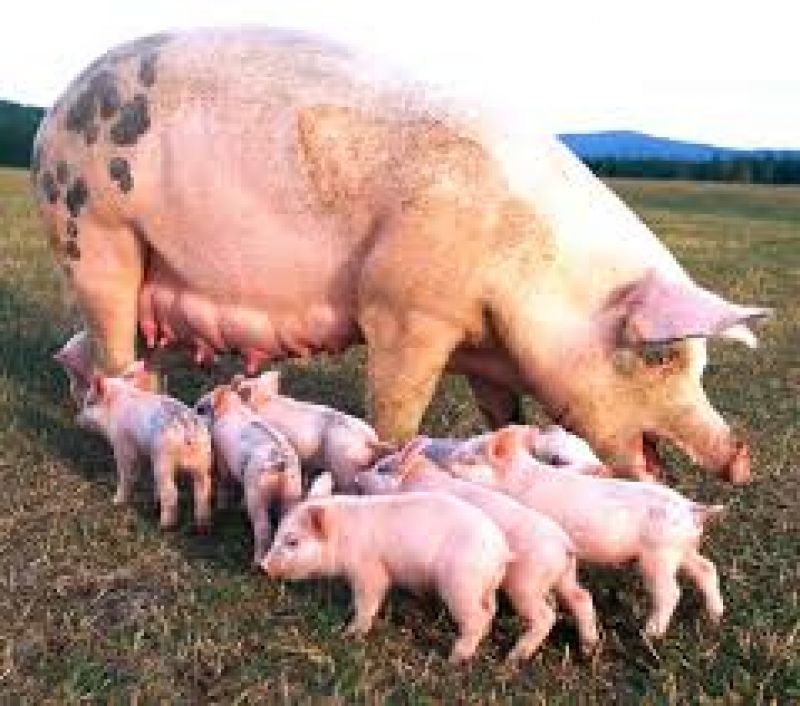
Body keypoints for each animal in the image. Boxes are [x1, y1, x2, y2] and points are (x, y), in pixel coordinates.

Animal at [77, 372, 213, 530]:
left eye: (89, 402)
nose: (78, 420)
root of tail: (188, 429)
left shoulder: (123, 446)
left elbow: (126, 474)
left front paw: (116, 501)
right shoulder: (142, 451)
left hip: (163, 461)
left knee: (172, 493)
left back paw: (164, 525)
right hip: (203, 461)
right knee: (203, 489)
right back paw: (202, 525)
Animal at [195, 384, 303, 565]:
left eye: (200, 408)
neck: (231, 407)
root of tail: (280, 461)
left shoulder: (221, 457)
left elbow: (224, 480)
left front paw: (222, 506)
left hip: (257, 493)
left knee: (263, 527)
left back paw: (255, 563)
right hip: (292, 490)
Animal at [263, 473, 512, 662]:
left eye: (293, 542)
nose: (264, 566)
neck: (343, 535)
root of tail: (501, 551)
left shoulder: (369, 569)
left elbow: (369, 599)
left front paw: (350, 633)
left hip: (461, 584)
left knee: (477, 618)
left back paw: (454, 658)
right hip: (485, 588)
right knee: (490, 610)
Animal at [356, 438, 600, 661]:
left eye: (382, 468)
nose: (358, 477)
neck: (414, 480)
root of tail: (565, 544)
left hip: (526, 582)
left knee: (544, 616)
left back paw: (513, 657)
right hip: (565, 576)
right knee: (581, 597)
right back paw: (588, 649)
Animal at [447, 427, 726, 638]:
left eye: (469, 459)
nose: (446, 460)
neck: (517, 478)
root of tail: (692, 508)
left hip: (658, 556)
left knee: (671, 592)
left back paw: (650, 634)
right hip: (683, 549)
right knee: (707, 568)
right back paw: (715, 617)